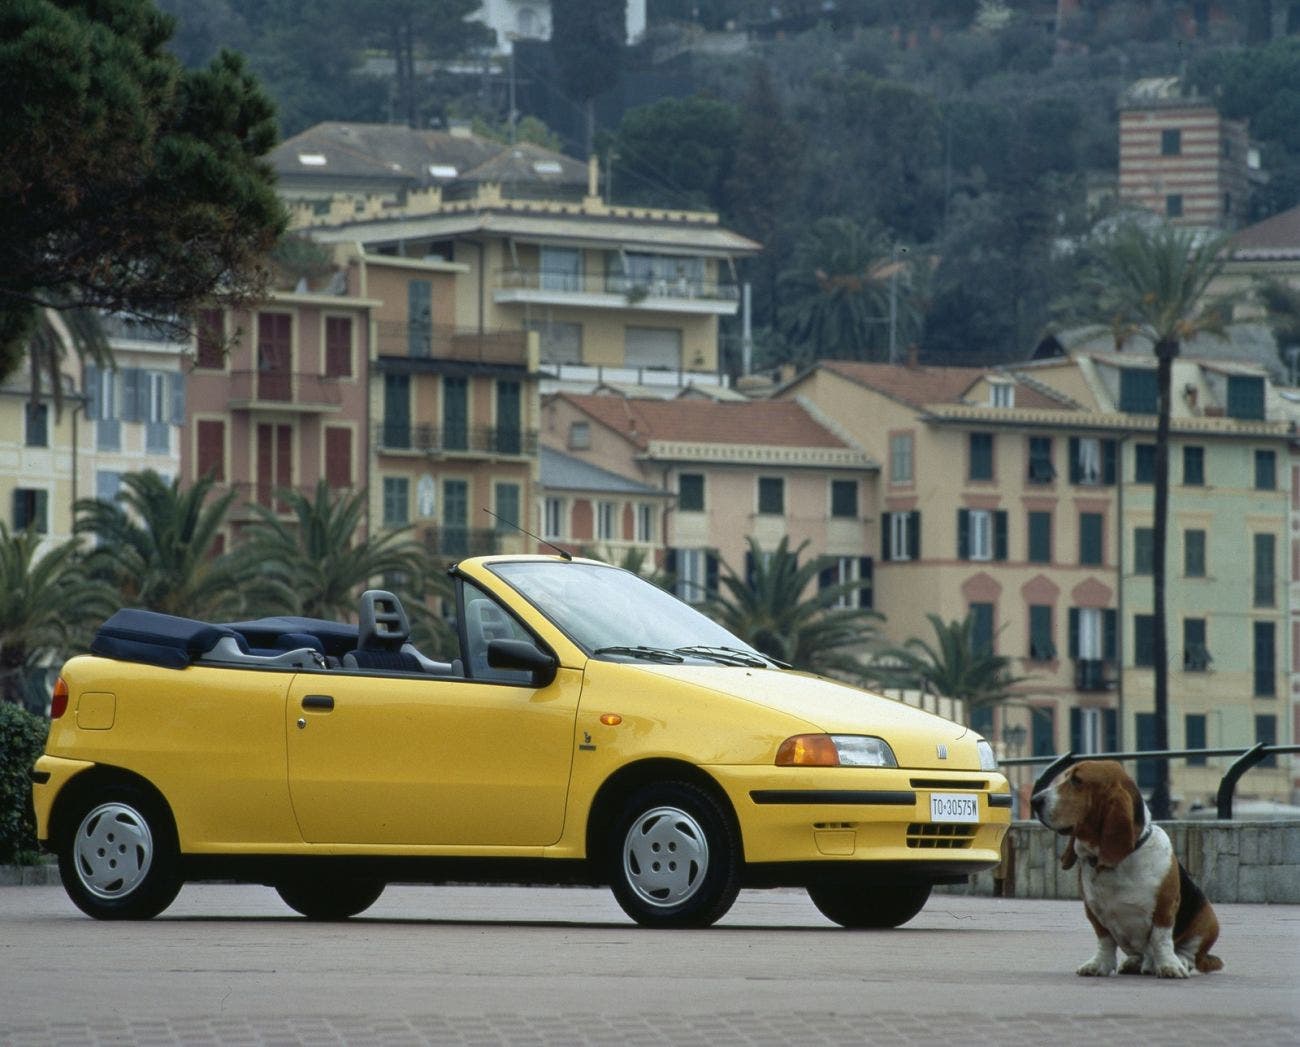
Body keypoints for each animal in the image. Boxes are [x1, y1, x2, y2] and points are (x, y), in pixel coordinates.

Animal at [1029, 759, 1222, 972]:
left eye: (1077, 781)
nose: (1034, 800)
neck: (1117, 862)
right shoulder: (1094, 912)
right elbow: (1105, 940)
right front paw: (1099, 964)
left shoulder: (1166, 907)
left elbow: (1161, 938)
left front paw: (1169, 966)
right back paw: (1135, 962)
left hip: (1207, 919)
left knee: (1190, 951)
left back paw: (1180, 961)